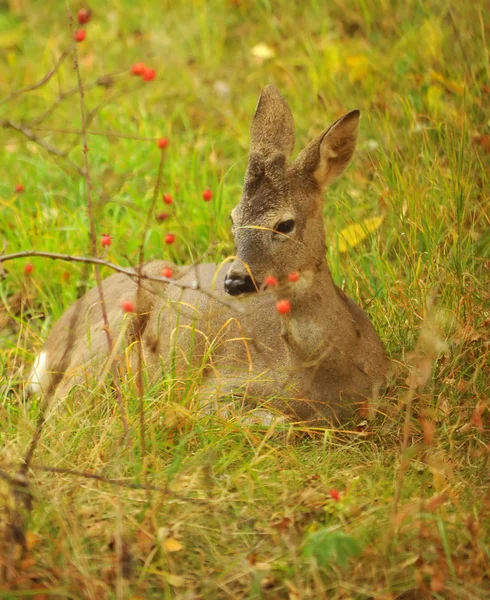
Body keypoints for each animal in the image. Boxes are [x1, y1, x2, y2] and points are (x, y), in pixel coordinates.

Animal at [27, 85, 386, 426]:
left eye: (285, 224)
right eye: (233, 217)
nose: (236, 280)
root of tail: (49, 344)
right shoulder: (219, 385)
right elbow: (278, 424)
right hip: (107, 329)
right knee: (63, 410)